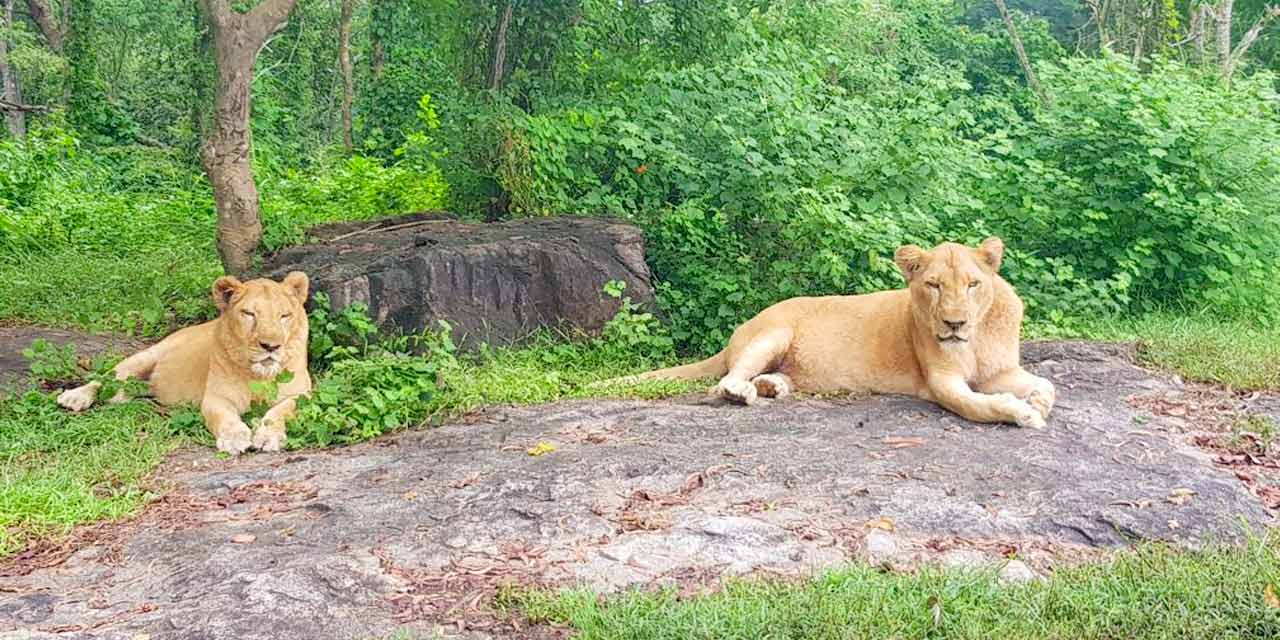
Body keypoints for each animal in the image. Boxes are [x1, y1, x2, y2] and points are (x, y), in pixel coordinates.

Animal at [58, 272, 313, 453]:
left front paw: (269, 436)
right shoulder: (217, 397)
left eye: (284, 315)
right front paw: (234, 438)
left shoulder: (301, 394)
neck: (259, 375)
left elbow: (282, 411)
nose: (271, 346)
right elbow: (224, 417)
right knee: (106, 378)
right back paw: (75, 397)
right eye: (249, 314)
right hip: (145, 356)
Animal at [616, 238, 1049, 427]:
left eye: (973, 284)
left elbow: (1046, 384)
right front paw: (1022, 413)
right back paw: (744, 392)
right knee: (724, 380)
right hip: (773, 333)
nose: (955, 323)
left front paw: (1039, 401)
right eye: (934, 285)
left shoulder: (999, 370)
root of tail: (739, 330)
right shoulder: (939, 380)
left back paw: (772, 386)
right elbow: (975, 405)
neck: (976, 340)